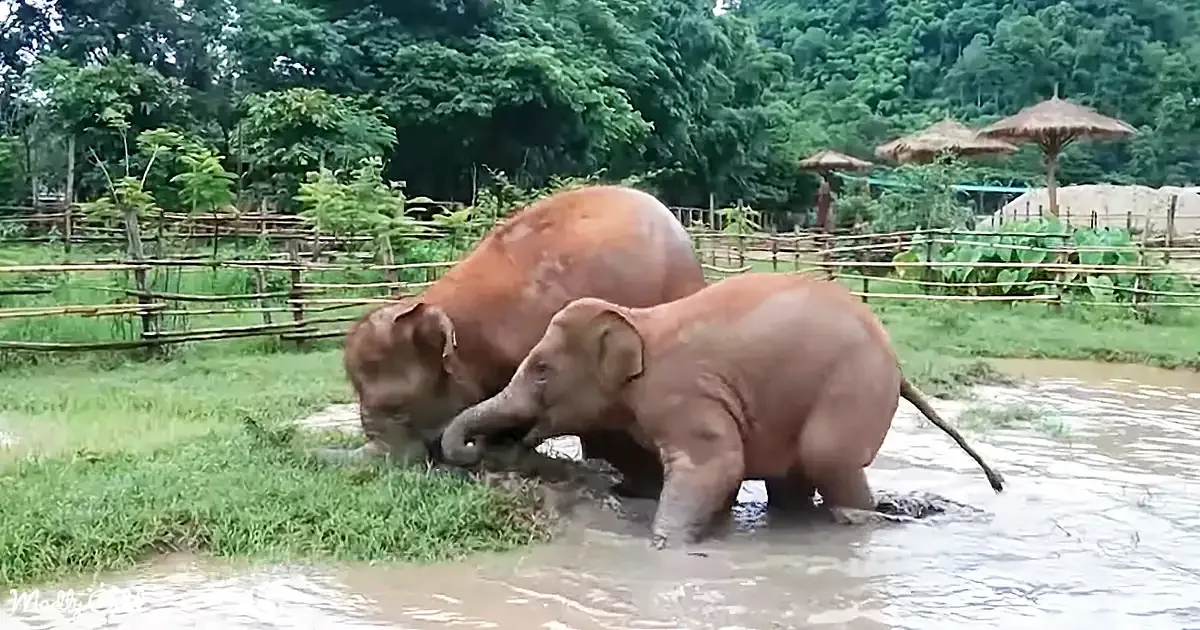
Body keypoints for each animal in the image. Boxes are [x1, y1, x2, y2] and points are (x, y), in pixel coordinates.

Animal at [439, 271, 1005, 549]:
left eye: (540, 370)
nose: (473, 451)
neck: (638, 321)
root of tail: (897, 363)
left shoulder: (684, 395)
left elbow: (717, 464)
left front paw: (663, 546)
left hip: (853, 390)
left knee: (830, 462)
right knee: (794, 481)